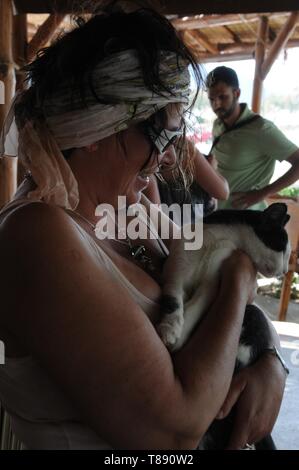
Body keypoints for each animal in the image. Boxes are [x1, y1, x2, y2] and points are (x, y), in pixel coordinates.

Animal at [157, 204, 290, 450]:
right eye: (283, 250)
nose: (286, 270)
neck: (219, 240)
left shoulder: (213, 282)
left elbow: (197, 306)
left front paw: (180, 335)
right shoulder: (176, 270)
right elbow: (173, 299)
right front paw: (171, 328)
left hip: (252, 314)